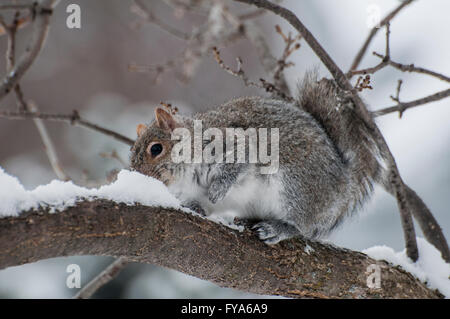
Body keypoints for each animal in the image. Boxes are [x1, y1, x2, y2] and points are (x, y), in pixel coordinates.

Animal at [130, 74, 386, 245]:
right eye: (132, 153)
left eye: (156, 149)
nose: (138, 176)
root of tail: (344, 184)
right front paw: (195, 206)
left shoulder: (234, 143)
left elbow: (239, 161)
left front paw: (218, 189)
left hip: (296, 186)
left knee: (301, 225)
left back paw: (279, 228)